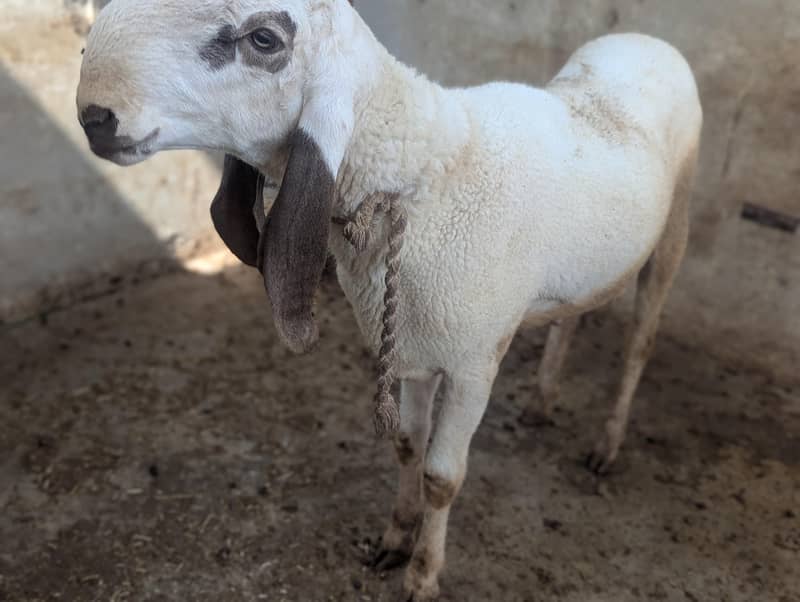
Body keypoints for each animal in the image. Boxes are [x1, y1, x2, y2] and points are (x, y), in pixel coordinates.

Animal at [76, 1, 703, 599]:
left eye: (264, 39)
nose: (93, 117)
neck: (423, 175)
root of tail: (645, 39)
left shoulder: (473, 364)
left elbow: (442, 477)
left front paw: (423, 576)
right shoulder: (410, 345)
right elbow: (406, 445)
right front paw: (395, 539)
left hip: (674, 231)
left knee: (640, 343)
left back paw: (607, 445)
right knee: (570, 320)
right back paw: (543, 401)